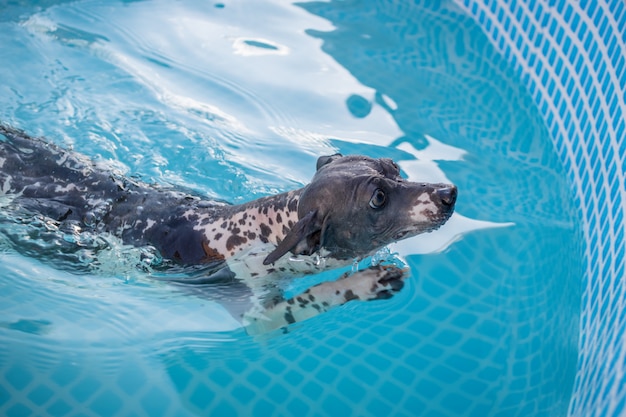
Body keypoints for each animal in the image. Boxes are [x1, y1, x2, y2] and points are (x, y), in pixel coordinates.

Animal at [1, 125, 458, 334]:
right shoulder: (259, 314)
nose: (448, 192)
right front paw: (365, 282)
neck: (255, 230)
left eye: (395, 167)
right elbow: (314, 297)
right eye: (378, 197)